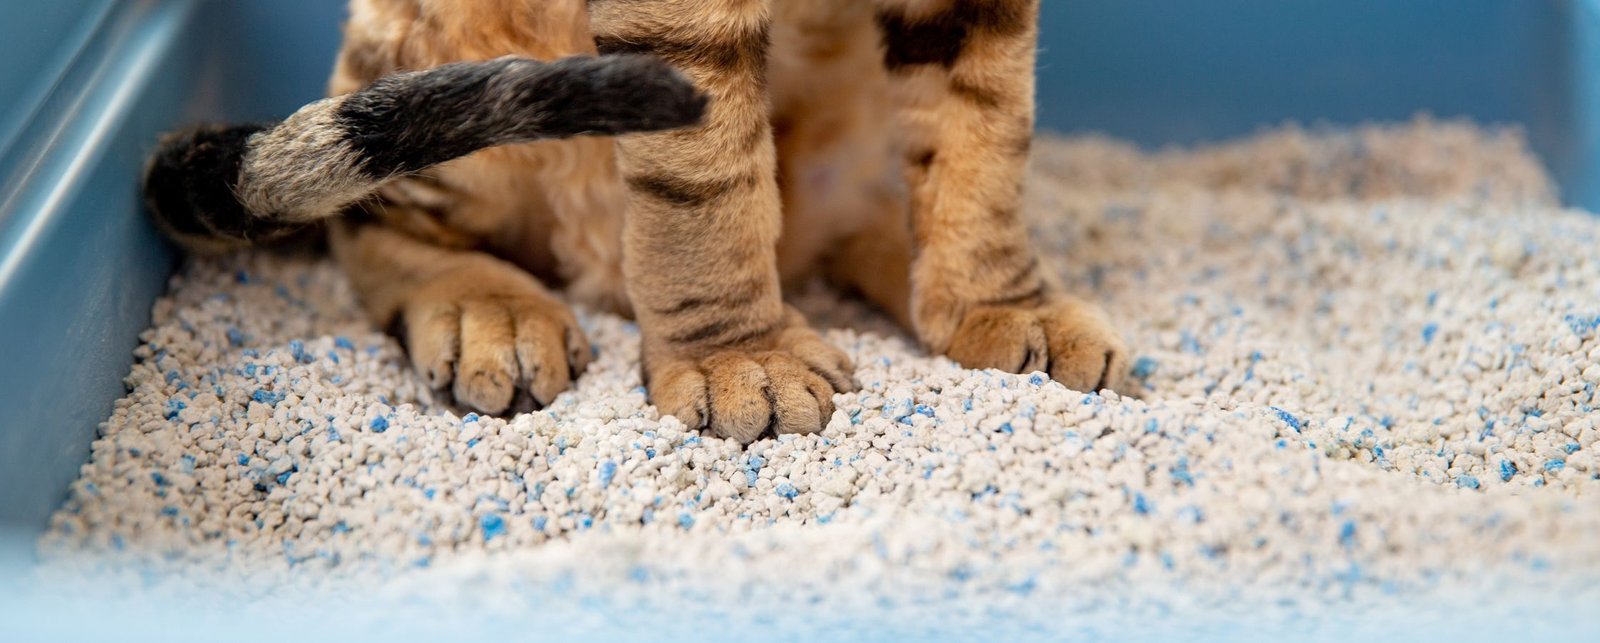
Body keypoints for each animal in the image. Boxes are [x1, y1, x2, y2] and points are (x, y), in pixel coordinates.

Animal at [147, 0, 1126, 441]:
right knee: (377, 216)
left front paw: (1003, 307)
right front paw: (742, 361)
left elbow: (984, 132)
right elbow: (706, 184)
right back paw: (488, 309)